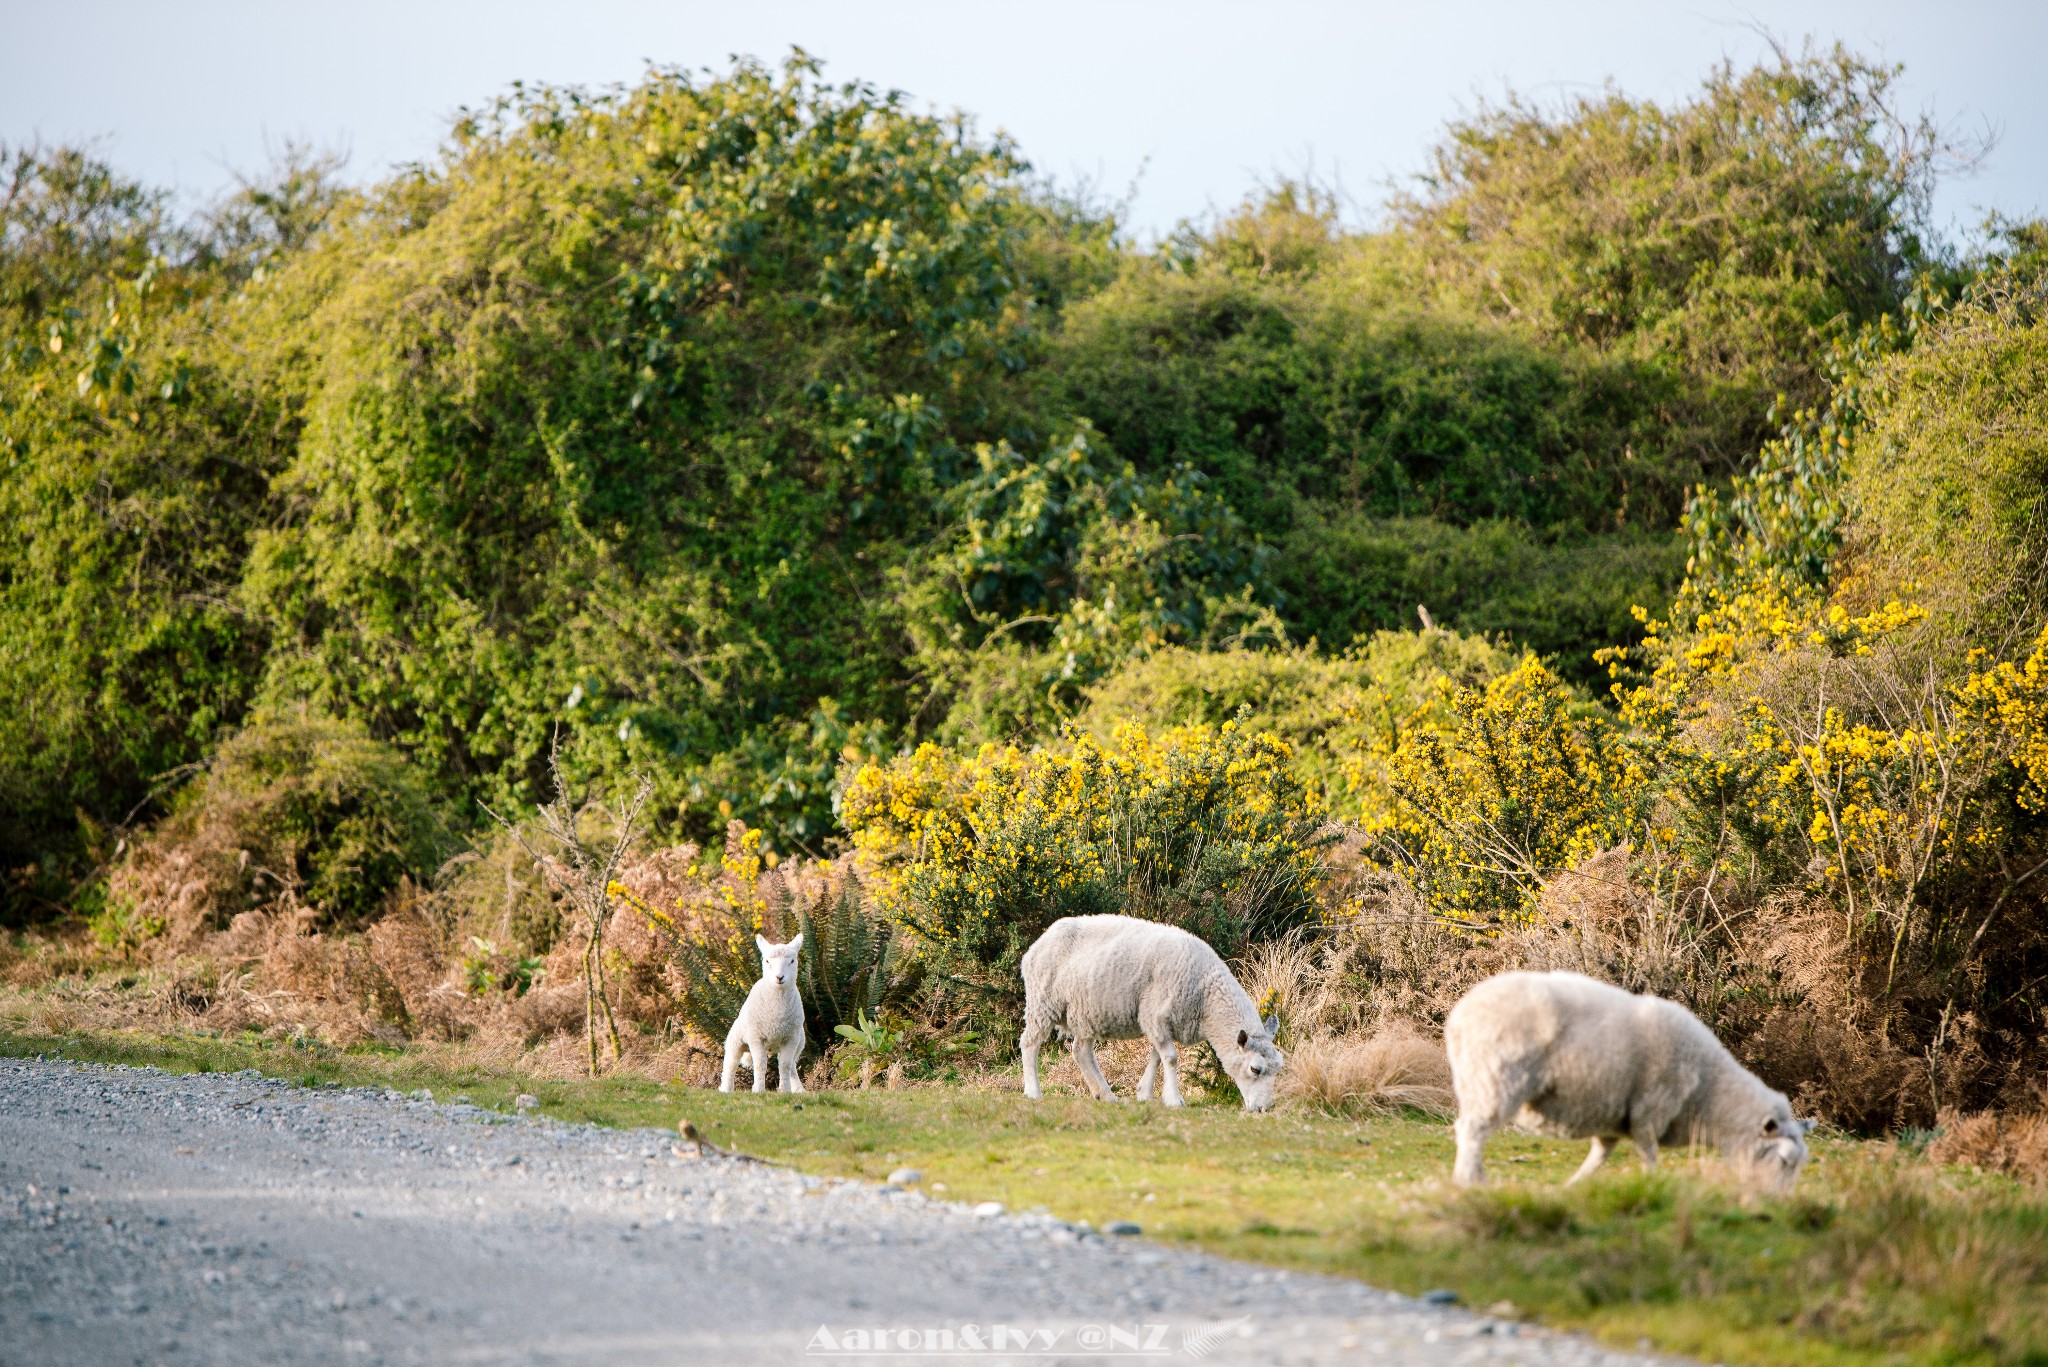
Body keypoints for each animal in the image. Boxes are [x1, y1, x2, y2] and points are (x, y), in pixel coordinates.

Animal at [720, 934, 806, 1098]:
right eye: (767, 961)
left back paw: (798, 1089)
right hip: (736, 1038)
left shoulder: (791, 1038)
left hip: (799, 1042)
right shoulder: (756, 1036)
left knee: (792, 1065)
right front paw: (758, 1090)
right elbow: (760, 1064)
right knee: (731, 1062)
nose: (780, 977)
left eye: (792, 961)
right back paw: (725, 1089)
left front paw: (785, 1090)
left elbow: (785, 1065)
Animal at [1019, 909, 1286, 1114]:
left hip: (1086, 1011)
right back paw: (1033, 1091)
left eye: (1278, 1069)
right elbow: (1171, 1058)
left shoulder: (1162, 1021)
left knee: (1081, 1052)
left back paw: (1105, 1095)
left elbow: (1157, 1057)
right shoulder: (1154, 1014)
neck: (1206, 996)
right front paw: (1174, 1099)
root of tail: (1039, 942)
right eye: (1255, 1069)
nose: (1264, 1109)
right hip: (1042, 1002)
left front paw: (1144, 1093)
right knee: (1030, 1043)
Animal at [1441, 971, 1810, 1188]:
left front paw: (1572, 1186)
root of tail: (1460, 1015)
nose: (1776, 1205)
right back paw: (1470, 1182)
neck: (1709, 1096)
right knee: (1472, 1131)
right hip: (1496, 1079)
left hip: (1478, 1081)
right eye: (1783, 1161)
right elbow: (1649, 1155)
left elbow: (1598, 1158)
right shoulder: (1649, 1111)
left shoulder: (1613, 1119)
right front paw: (1652, 1184)